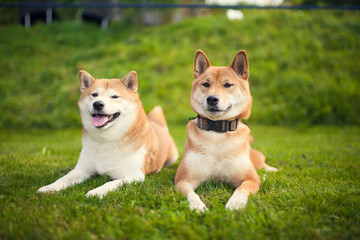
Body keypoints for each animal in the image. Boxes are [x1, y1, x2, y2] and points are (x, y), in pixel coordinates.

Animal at [37, 70, 179, 199]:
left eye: (115, 96)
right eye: (94, 95)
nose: (98, 104)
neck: (106, 140)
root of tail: (158, 125)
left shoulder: (133, 176)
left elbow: (111, 183)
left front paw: (96, 192)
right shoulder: (81, 170)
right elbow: (63, 179)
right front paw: (49, 188)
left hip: (173, 157)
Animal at [174, 49, 278, 211]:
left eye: (228, 84)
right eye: (206, 84)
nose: (212, 99)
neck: (217, 132)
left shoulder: (251, 179)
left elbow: (242, 189)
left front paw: (235, 204)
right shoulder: (183, 180)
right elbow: (191, 194)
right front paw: (198, 206)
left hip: (256, 158)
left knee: (262, 163)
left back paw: (271, 170)